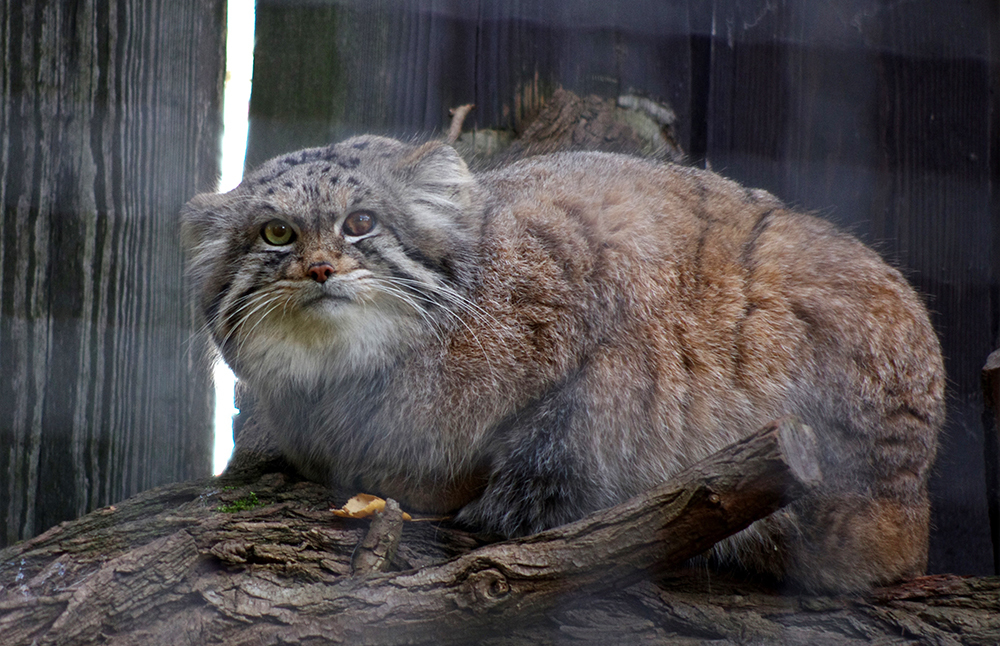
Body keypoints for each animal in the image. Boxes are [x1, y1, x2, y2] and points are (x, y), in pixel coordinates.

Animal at [182, 137, 944, 592]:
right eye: (277, 233)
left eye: (360, 224)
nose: (318, 269)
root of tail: (913, 498)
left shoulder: (600, 272)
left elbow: (562, 432)